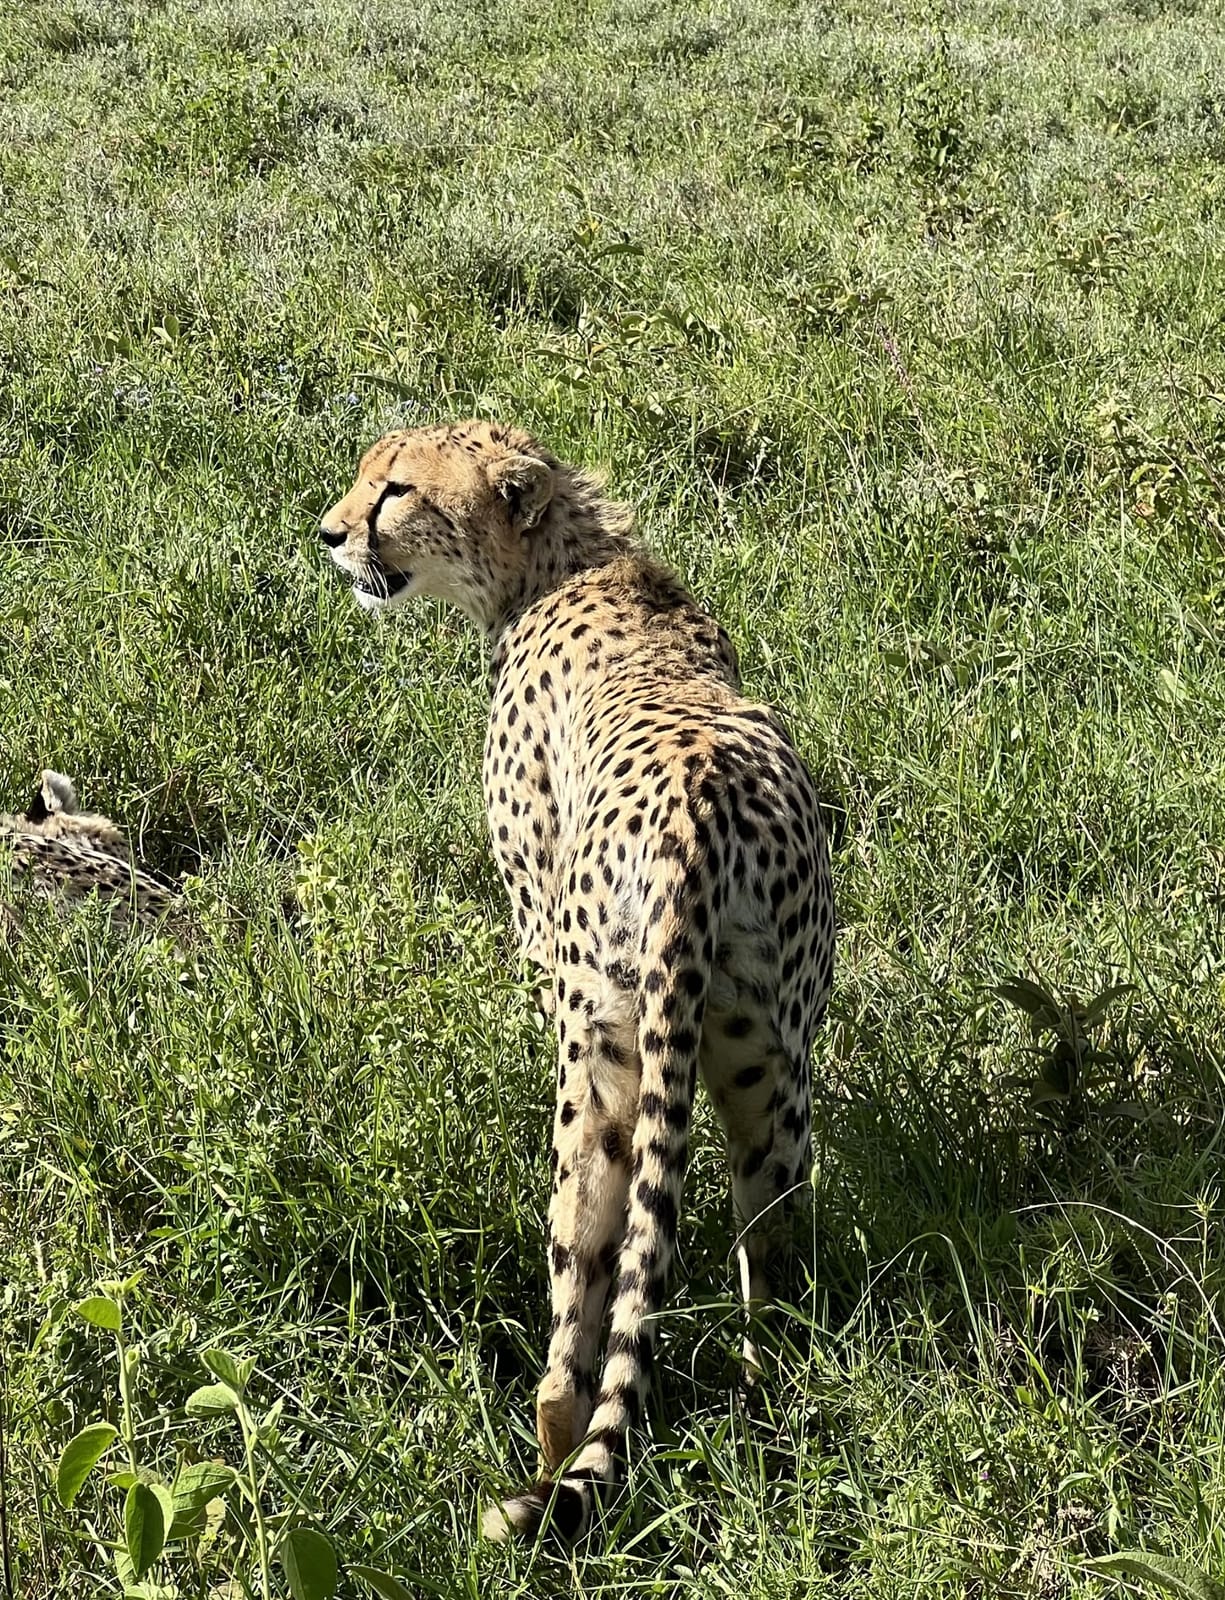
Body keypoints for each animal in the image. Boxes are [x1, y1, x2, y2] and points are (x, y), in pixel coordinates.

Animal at [320, 420, 835, 1541]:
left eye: (394, 489)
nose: (329, 533)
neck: (566, 563)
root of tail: (697, 811)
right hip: (768, 1065)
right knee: (765, 1259)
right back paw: (764, 1402)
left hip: (599, 1066)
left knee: (577, 1320)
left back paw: (545, 1471)